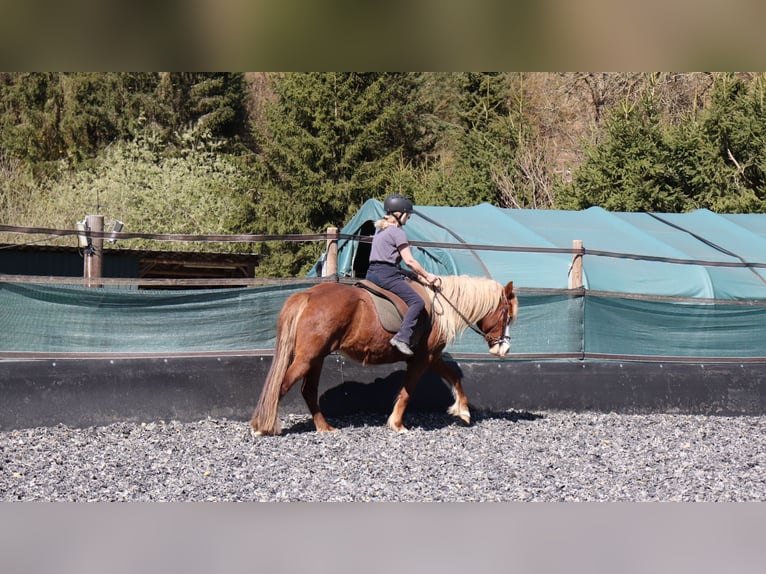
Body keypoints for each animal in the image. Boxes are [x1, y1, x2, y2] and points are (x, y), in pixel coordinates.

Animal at [250, 275, 518, 435]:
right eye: (506, 315)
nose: (504, 349)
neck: (441, 307)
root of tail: (308, 295)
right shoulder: (423, 359)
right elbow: (407, 391)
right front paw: (397, 425)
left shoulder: (430, 357)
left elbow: (453, 376)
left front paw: (463, 411)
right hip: (308, 358)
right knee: (282, 385)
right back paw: (262, 427)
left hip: (316, 358)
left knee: (308, 391)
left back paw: (324, 427)